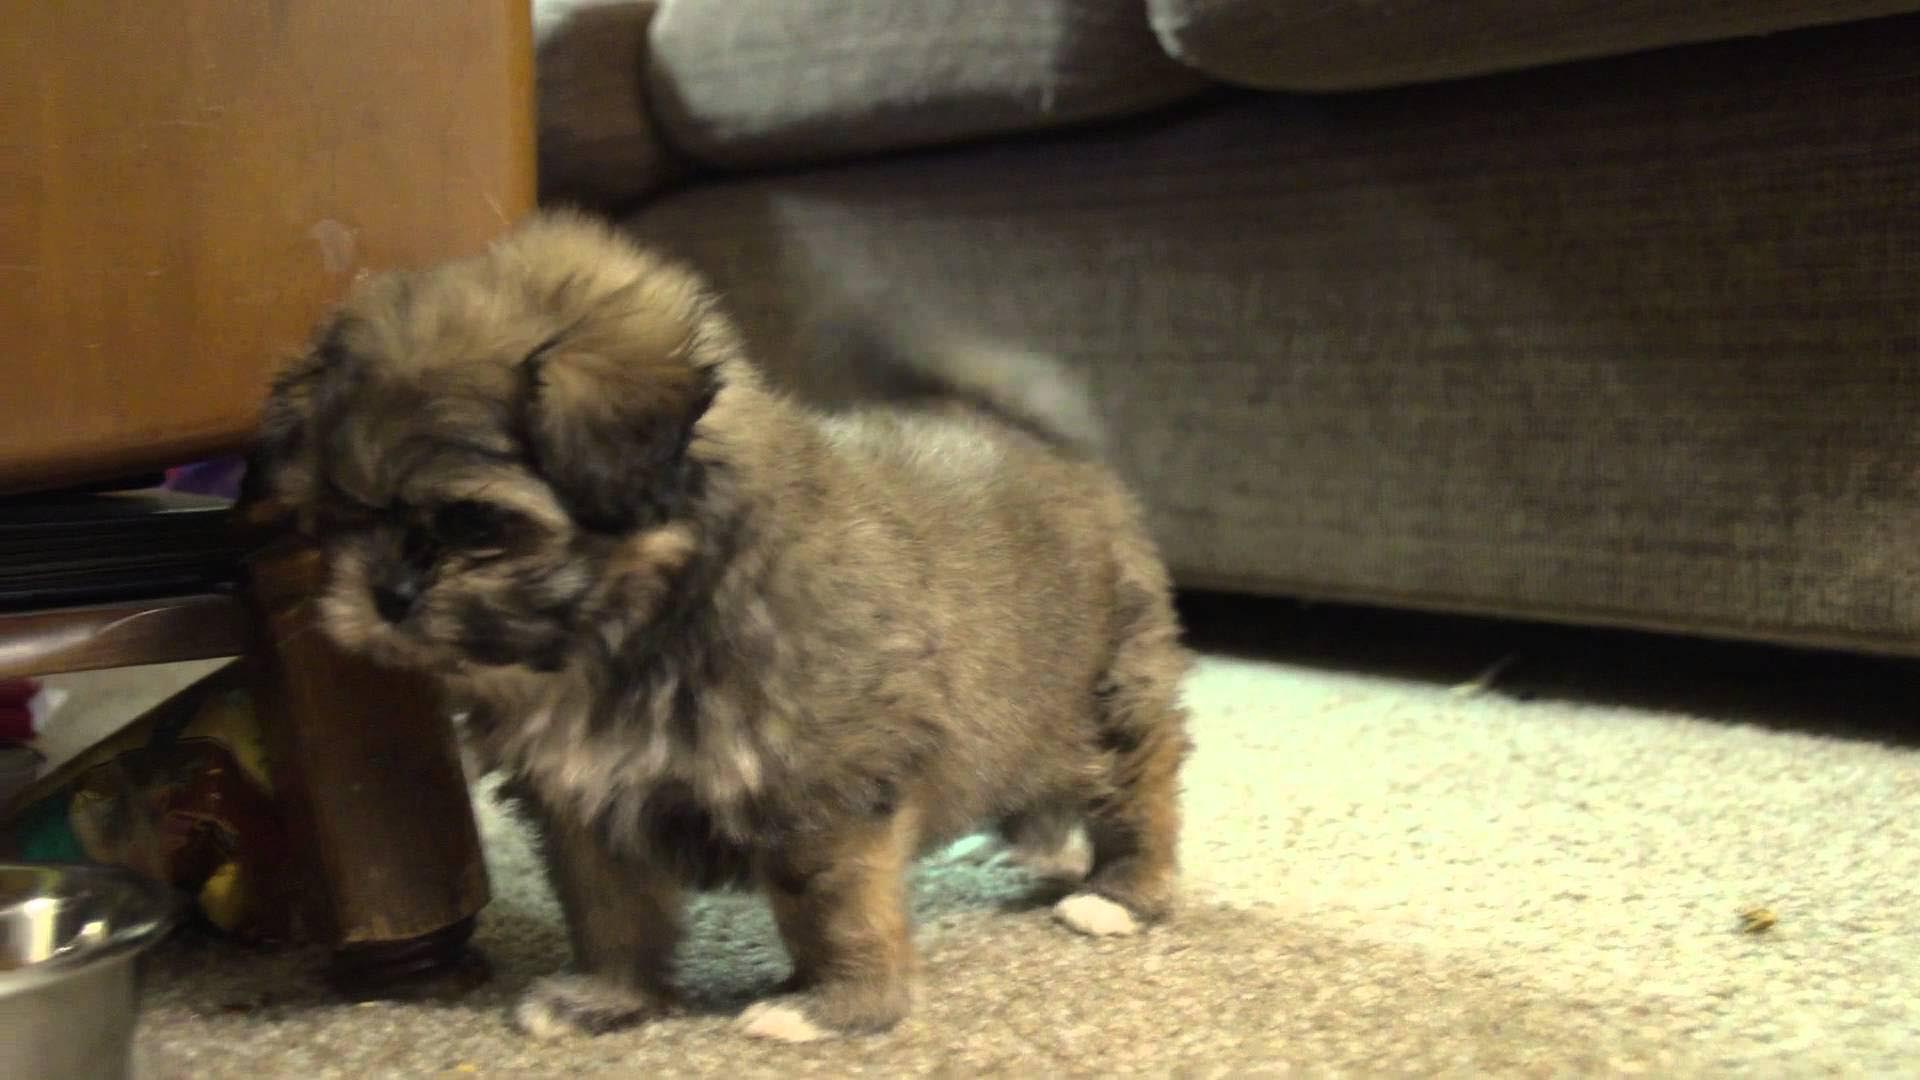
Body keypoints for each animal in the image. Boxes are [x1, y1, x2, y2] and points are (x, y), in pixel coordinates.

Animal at [247, 205, 1190, 1037]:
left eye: (475, 524)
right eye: (333, 519)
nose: (385, 596)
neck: (633, 627)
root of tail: (1050, 447)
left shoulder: (826, 794)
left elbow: (834, 909)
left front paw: (837, 1007)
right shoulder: (582, 807)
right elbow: (610, 909)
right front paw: (606, 999)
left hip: (1112, 693)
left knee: (1137, 793)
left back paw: (1116, 895)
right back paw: (1029, 849)